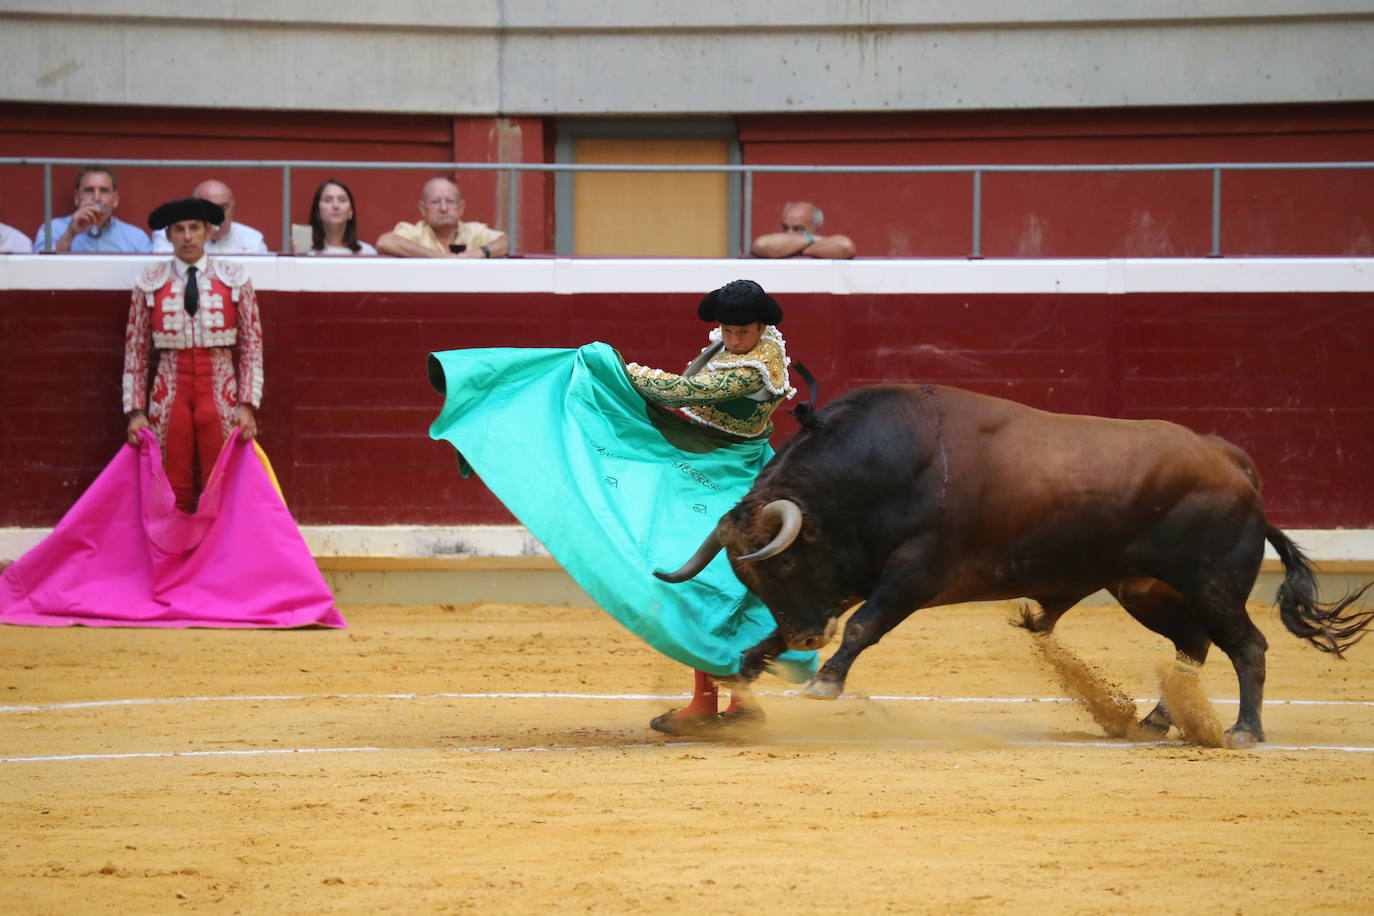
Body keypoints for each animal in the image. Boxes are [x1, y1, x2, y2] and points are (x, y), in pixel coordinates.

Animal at [659, 381, 1368, 747]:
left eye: (781, 568)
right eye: (749, 576)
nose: (808, 638)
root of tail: (1232, 461)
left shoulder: (914, 575)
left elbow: (862, 626)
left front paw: (824, 682)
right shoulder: (854, 577)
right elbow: (785, 633)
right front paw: (748, 668)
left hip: (1212, 584)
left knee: (1247, 647)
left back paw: (1244, 731)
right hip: (1147, 590)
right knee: (1191, 647)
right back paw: (1154, 721)